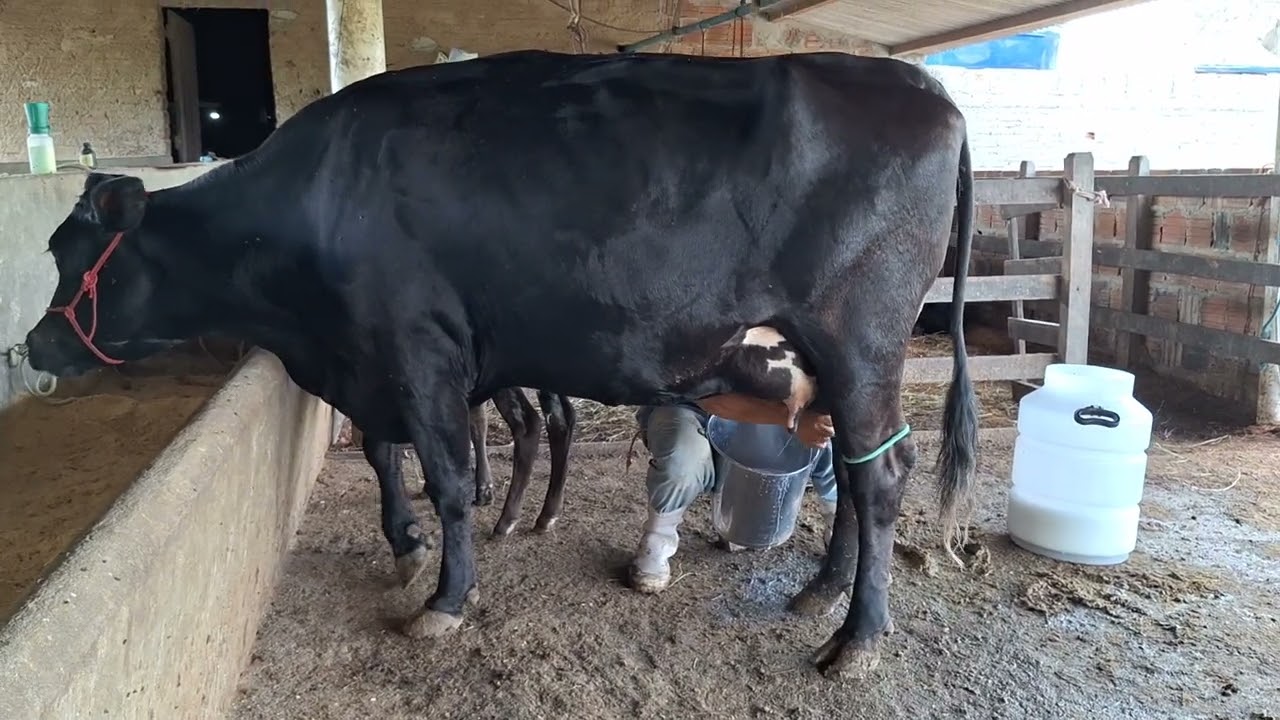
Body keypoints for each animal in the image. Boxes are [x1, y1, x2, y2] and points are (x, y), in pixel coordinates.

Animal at [22, 48, 978, 679]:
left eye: (72, 253)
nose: (35, 344)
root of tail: (924, 86)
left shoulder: (418, 351)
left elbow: (446, 476)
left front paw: (443, 598)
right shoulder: (371, 363)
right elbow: (385, 455)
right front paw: (405, 546)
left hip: (860, 346)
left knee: (881, 475)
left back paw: (856, 639)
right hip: (821, 370)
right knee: (852, 471)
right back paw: (821, 593)